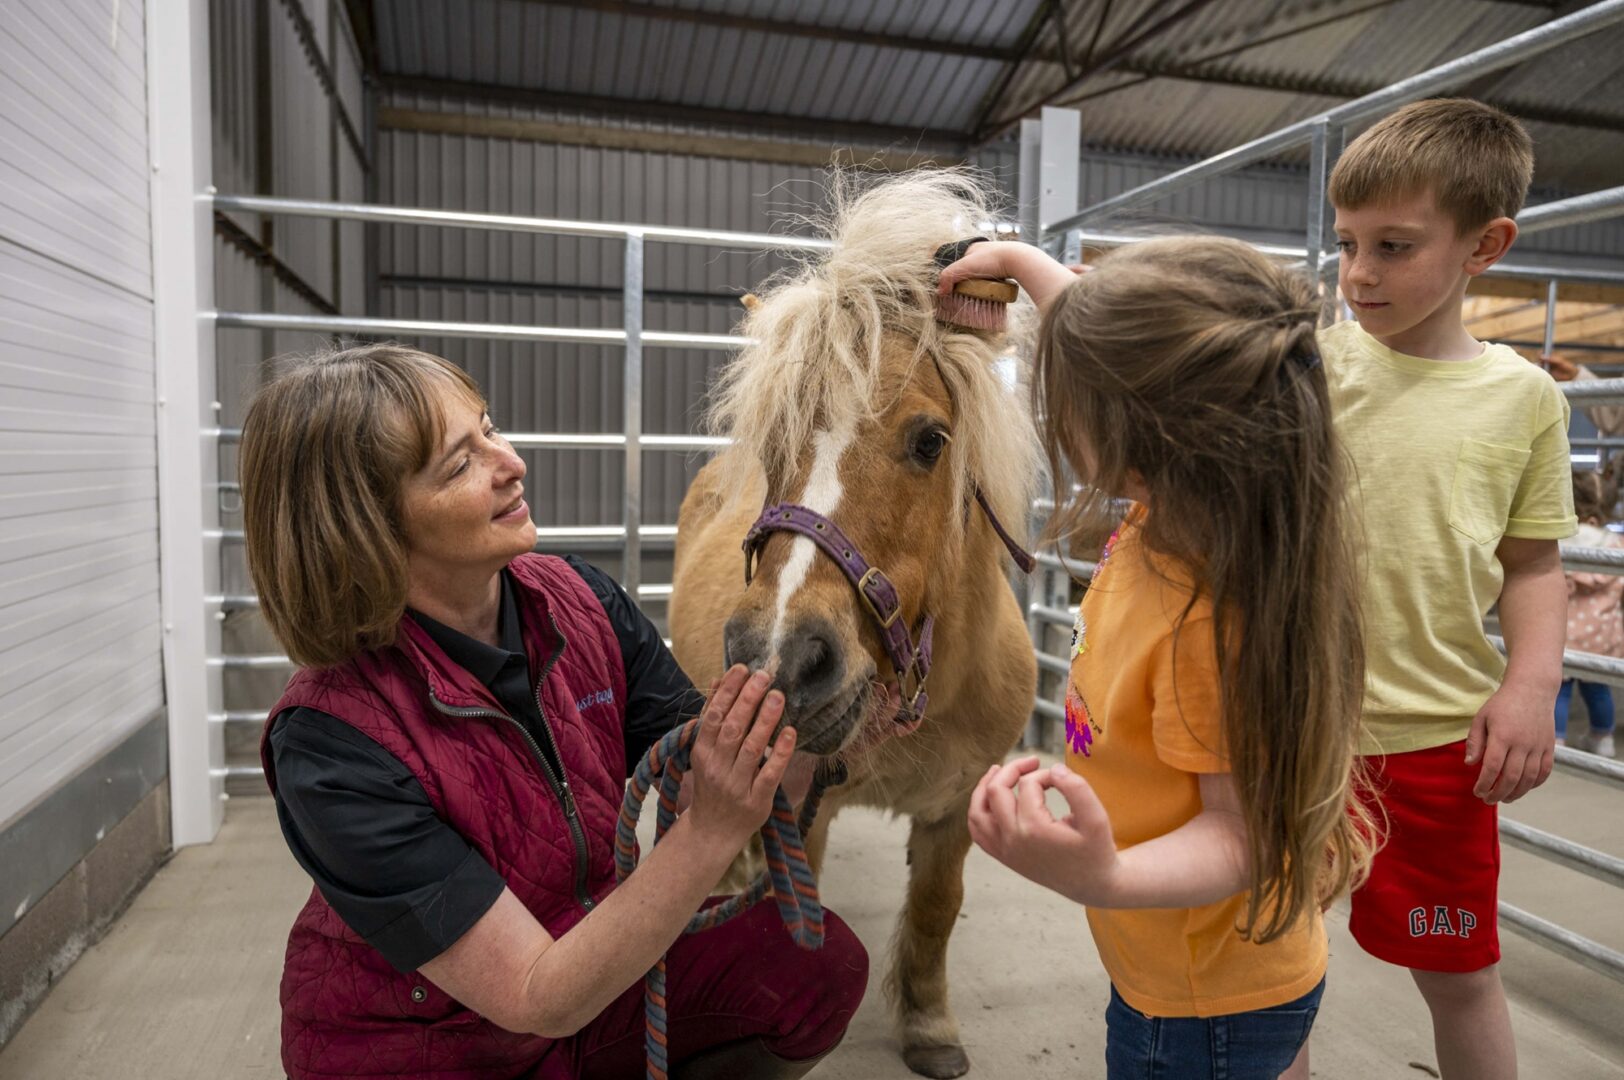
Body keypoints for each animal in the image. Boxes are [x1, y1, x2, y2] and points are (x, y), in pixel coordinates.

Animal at [669, 170, 1042, 1079]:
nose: (775, 658)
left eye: (931, 440)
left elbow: (937, 909)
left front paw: (929, 1026)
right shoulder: (803, 810)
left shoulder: (955, 807)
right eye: (773, 443)